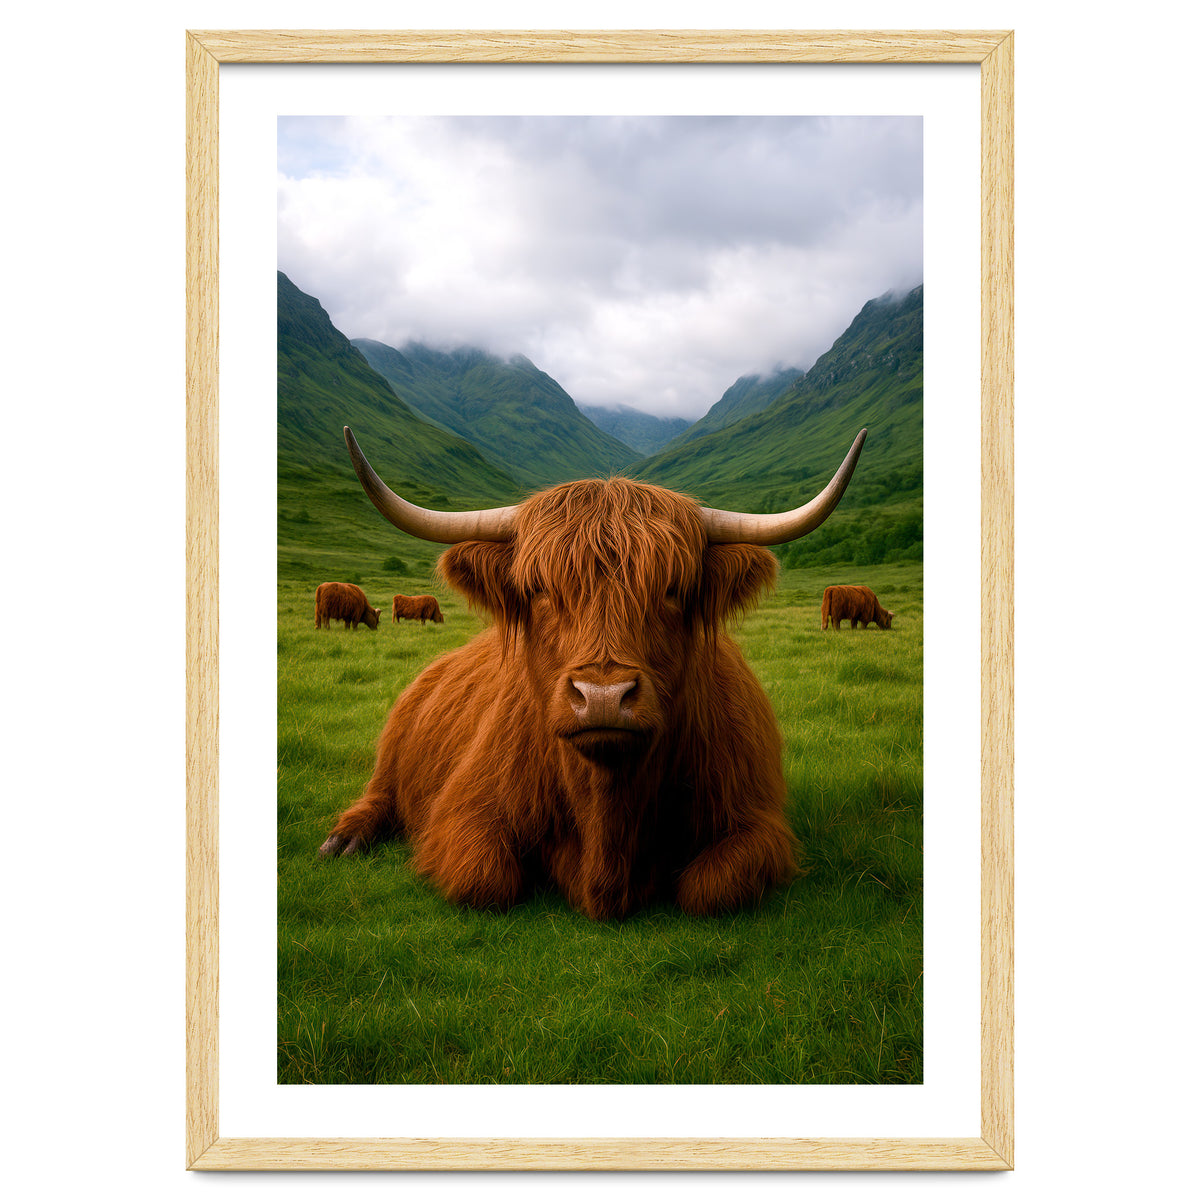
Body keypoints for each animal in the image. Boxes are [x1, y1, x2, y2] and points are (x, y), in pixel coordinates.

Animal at [320, 425, 867, 919]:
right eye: (539, 588)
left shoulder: (756, 821)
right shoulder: (463, 811)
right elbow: (485, 879)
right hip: (393, 751)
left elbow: (709, 889)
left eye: (673, 590)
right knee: (380, 794)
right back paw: (344, 840)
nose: (603, 696)